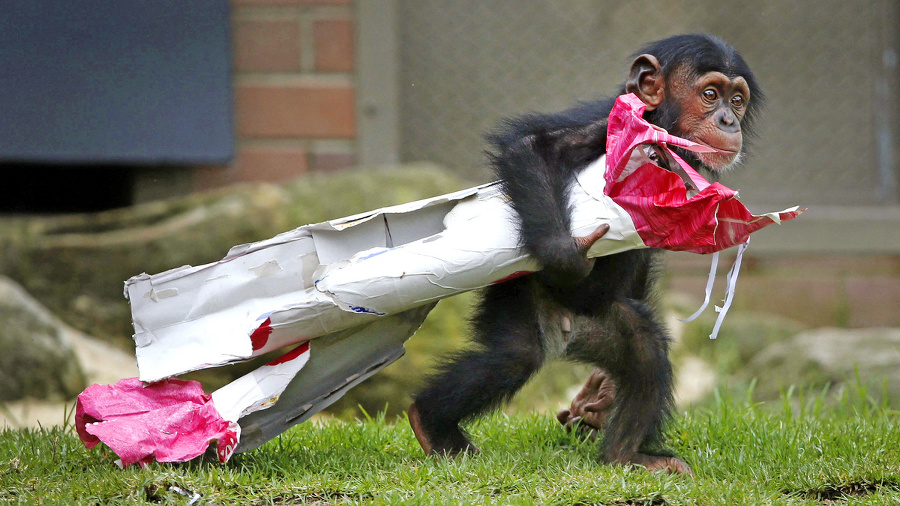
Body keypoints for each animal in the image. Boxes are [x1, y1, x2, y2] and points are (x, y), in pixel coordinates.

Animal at [412, 32, 764, 474]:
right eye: (710, 94)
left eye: (737, 100)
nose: (728, 121)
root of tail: (567, 331)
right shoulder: (608, 125)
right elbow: (533, 147)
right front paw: (566, 255)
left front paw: (601, 395)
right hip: (520, 300)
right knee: (514, 356)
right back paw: (431, 423)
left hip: (602, 323)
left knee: (644, 350)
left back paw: (626, 453)